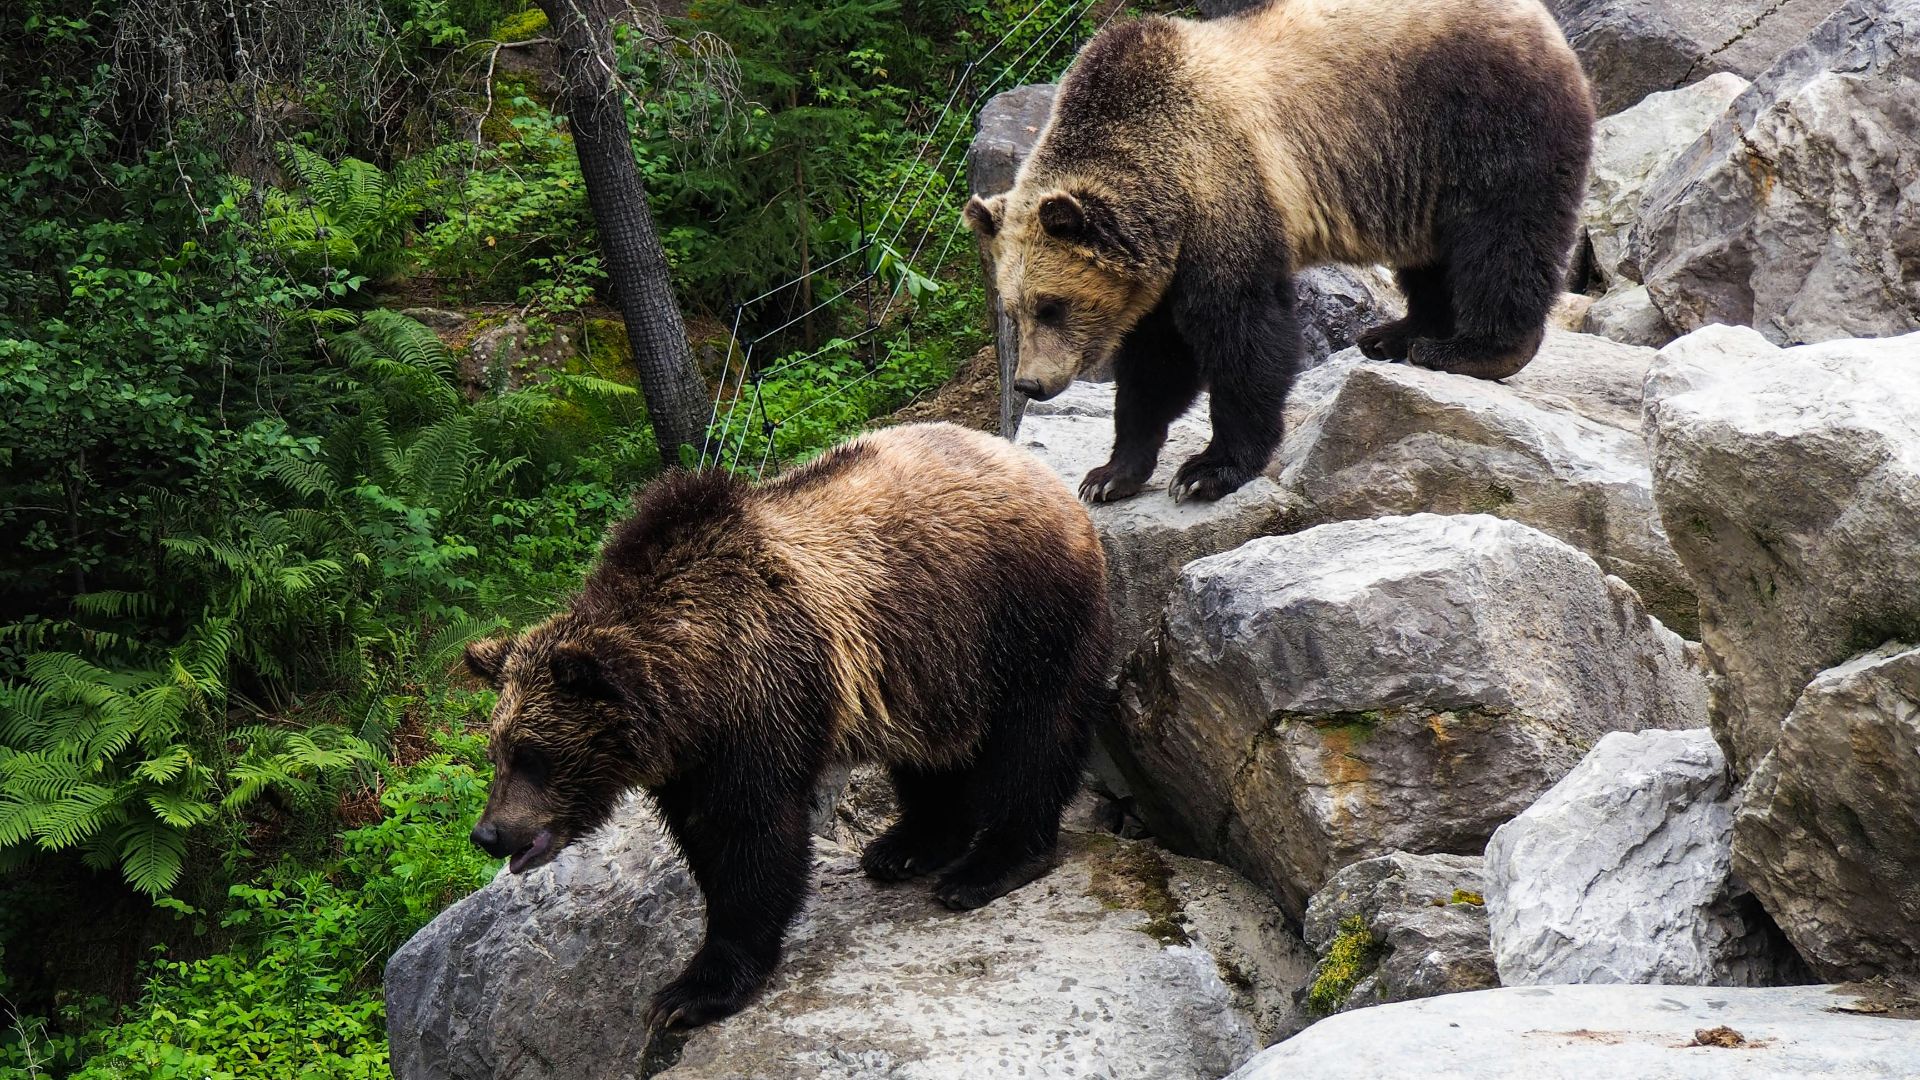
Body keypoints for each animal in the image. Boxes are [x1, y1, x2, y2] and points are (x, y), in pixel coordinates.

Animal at [463, 422, 1111, 1030]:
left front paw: (693, 991)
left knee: (1034, 737)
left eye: (533, 754)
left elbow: (753, 841)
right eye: (497, 751)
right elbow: (705, 842)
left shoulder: (764, 699)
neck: (693, 688)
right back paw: (906, 845)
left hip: (1020, 615)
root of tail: (1039, 471)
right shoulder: (692, 758)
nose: (489, 833)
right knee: (932, 753)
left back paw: (988, 866)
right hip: (931, 664)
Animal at [966, 0, 1594, 503]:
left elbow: (1244, 334)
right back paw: (1397, 335)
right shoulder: (1162, 268)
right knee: (1432, 257)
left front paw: (1208, 470)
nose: (1029, 384)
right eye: (1013, 309)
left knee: (1502, 237)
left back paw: (1473, 350)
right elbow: (1154, 365)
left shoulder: (1226, 194)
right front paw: (1109, 475)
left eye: (1052, 305)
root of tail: (1544, 22)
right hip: (1417, 172)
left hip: (1479, 120)